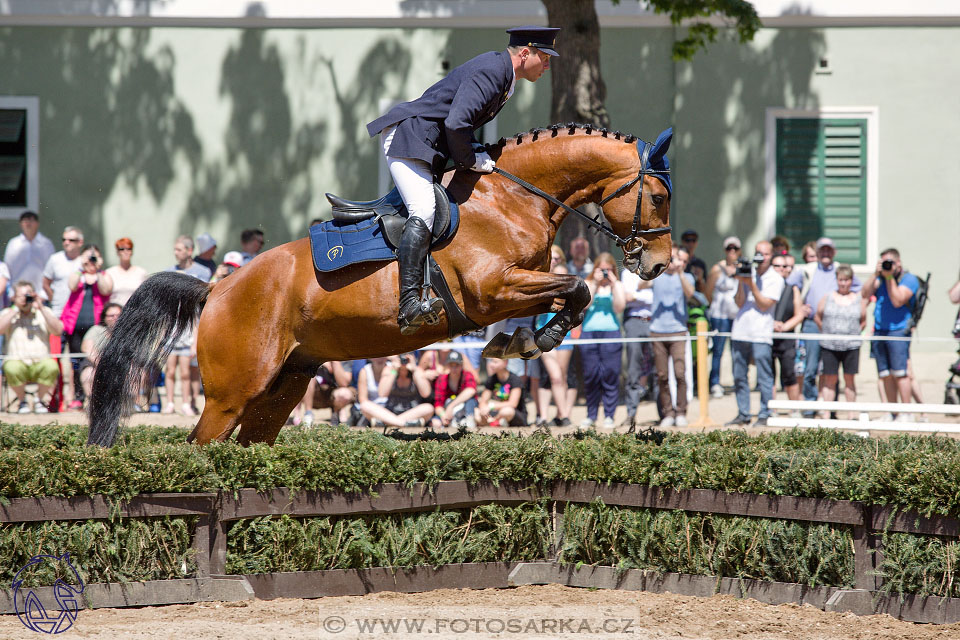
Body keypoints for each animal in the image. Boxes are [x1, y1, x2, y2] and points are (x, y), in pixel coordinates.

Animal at [90, 124, 676, 444]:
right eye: (659, 197)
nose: (659, 266)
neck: (511, 199)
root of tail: (217, 289)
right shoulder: (493, 291)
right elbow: (576, 286)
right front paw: (528, 340)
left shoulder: (518, 285)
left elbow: (572, 292)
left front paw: (524, 341)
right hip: (232, 395)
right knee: (200, 447)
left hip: (283, 387)